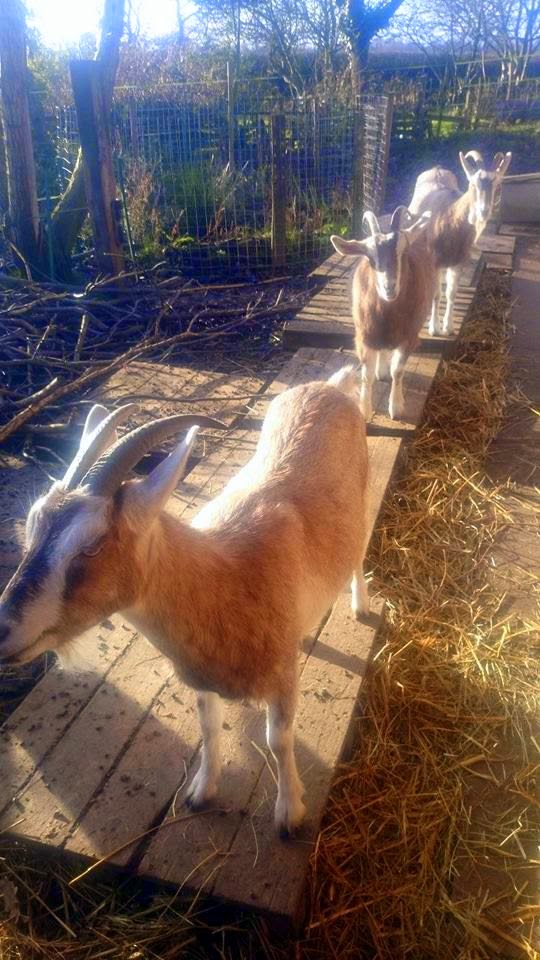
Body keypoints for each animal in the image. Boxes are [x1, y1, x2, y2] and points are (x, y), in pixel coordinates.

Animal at [0, 368, 370, 838]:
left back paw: (361, 605)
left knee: (359, 554)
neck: (224, 578)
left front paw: (289, 813)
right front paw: (201, 791)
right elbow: (208, 727)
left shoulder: (284, 676)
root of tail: (331, 386)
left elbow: (278, 740)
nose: (3, 630)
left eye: (91, 546)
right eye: (31, 526)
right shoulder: (202, 680)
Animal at [330, 205, 434, 422]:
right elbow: (366, 375)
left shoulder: (409, 338)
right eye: (370, 257)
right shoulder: (364, 337)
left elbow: (398, 371)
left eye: (403, 251)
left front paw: (396, 407)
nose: (389, 287)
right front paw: (365, 410)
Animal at [408, 150, 512, 336]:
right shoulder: (435, 262)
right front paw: (434, 328)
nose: (483, 211)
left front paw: (448, 327)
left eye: (496, 183)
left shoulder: (458, 262)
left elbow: (451, 293)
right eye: (473, 184)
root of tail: (436, 168)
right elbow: (436, 294)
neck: (449, 217)